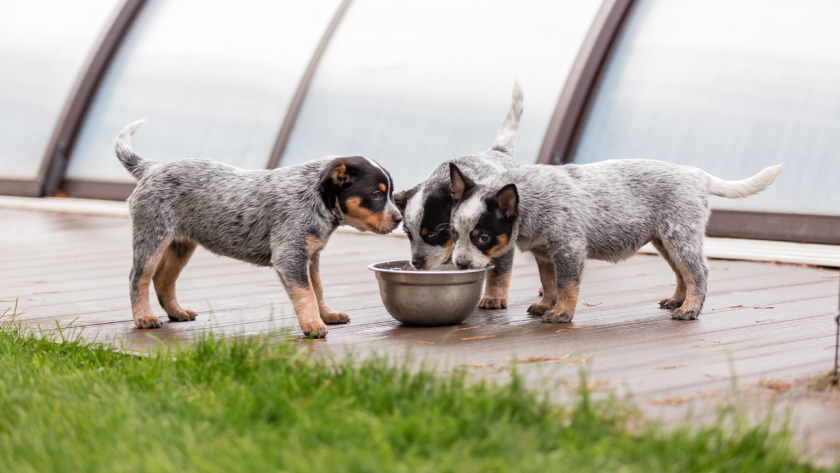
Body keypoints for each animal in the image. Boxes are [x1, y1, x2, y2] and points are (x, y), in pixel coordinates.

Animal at [114, 120, 400, 338]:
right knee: (138, 277)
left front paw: (327, 314)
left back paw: (176, 311)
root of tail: (153, 166)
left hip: (181, 245)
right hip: (152, 238)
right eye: (376, 194)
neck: (315, 197)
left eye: (390, 193)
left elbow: (317, 288)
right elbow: (306, 292)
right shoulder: (290, 255)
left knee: (164, 279)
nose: (398, 219)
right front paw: (313, 324)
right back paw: (144, 317)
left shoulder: (310, 256)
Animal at [390, 81, 520, 310]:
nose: (416, 263)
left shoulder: (503, 241)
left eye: (433, 234)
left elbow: (499, 271)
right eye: (407, 232)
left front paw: (493, 296)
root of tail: (498, 151)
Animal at [450, 160, 784, 322]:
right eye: (453, 234)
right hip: (666, 241)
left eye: (482, 237)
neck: (531, 199)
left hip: (680, 235)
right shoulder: (545, 253)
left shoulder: (569, 249)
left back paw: (690, 309)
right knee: (682, 273)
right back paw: (677, 299)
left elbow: (566, 285)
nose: (461, 264)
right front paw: (546, 305)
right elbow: (549, 282)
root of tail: (698, 174)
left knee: (698, 272)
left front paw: (561, 313)